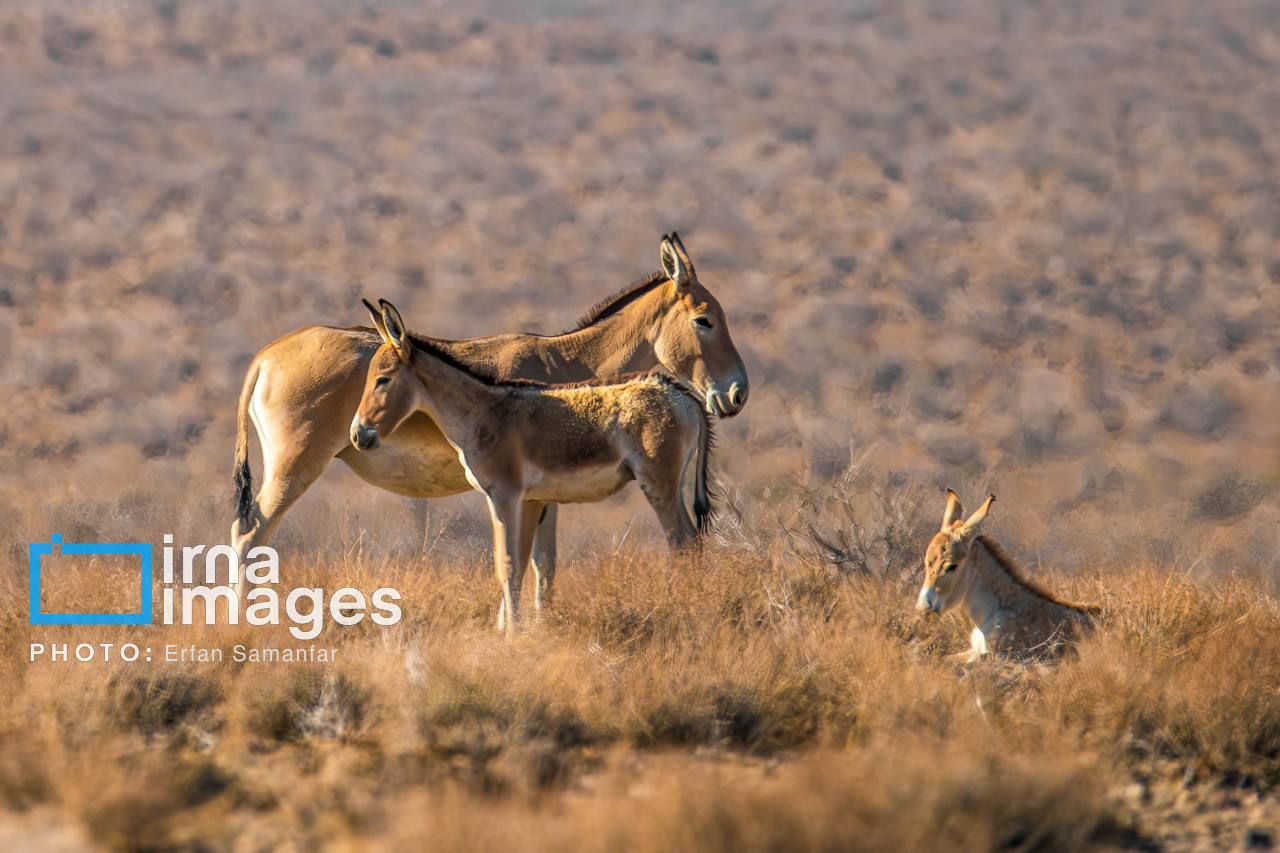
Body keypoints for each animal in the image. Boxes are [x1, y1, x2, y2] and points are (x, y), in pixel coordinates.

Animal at [350, 295, 716, 635]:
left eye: (383, 379)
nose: (358, 434)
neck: (482, 412)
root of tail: (683, 395)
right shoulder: (528, 499)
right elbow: (522, 562)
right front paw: (508, 629)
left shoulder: (504, 495)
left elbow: (507, 564)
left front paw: (511, 634)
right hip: (669, 485)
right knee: (694, 543)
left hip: (658, 484)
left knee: (683, 544)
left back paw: (688, 611)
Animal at [921, 489, 1100, 660]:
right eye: (926, 561)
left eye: (951, 566)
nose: (923, 608)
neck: (994, 610)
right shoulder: (973, 651)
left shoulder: (1000, 656)